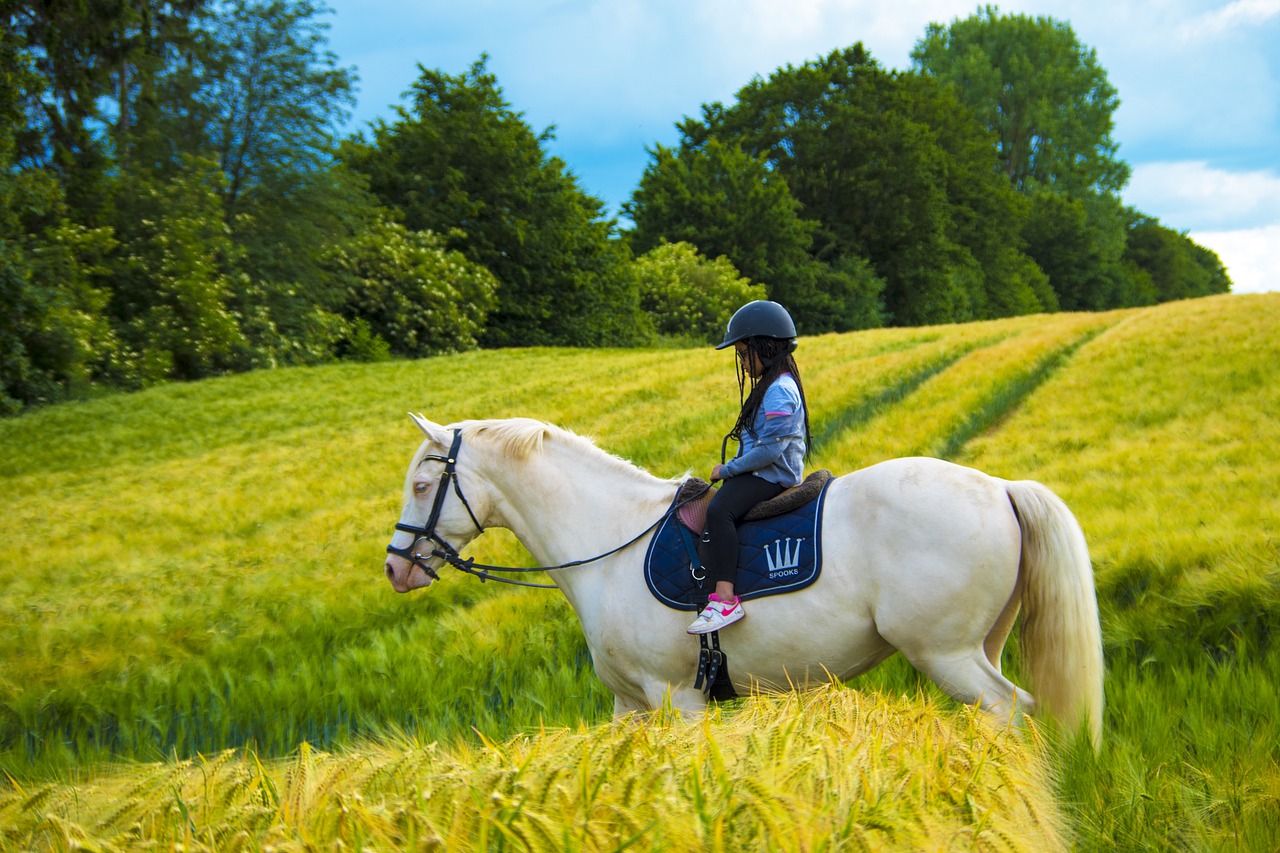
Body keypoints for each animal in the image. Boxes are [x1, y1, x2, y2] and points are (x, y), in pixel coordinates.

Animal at [378, 414, 1100, 742]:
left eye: (422, 484)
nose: (395, 567)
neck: (609, 540)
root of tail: (1002, 486)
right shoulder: (629, 705)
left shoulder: (677, 699)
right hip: (980, 645)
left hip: (946, 653)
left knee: (1012, 710)